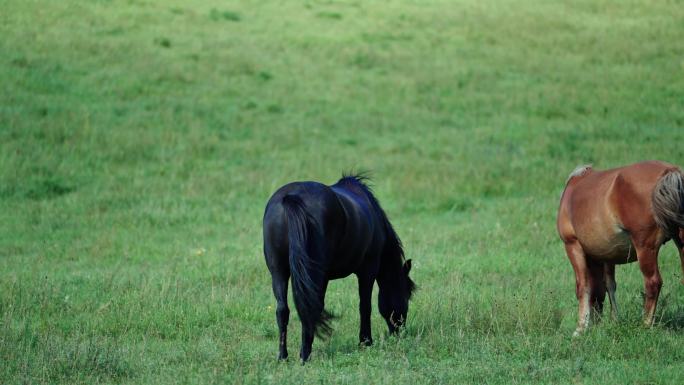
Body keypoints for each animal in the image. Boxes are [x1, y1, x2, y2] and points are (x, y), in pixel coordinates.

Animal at [262, 174, 414, 360]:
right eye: (406, 295)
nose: (401, 332)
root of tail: (292, 198)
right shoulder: (367, 271)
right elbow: (365, 306)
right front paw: (366, 342)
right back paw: (305, 355)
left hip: (279, 272)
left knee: (283, 310)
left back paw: (283, 356)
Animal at [556, 159, 684, 332]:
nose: (596, 323)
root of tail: (669, 171)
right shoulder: (606, 255)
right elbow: (609, 285)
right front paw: (614, 320)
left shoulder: (573, 246)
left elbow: (583, 287)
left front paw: (581, 328)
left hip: (645, 249)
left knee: (653, 282)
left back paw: (645, 324)